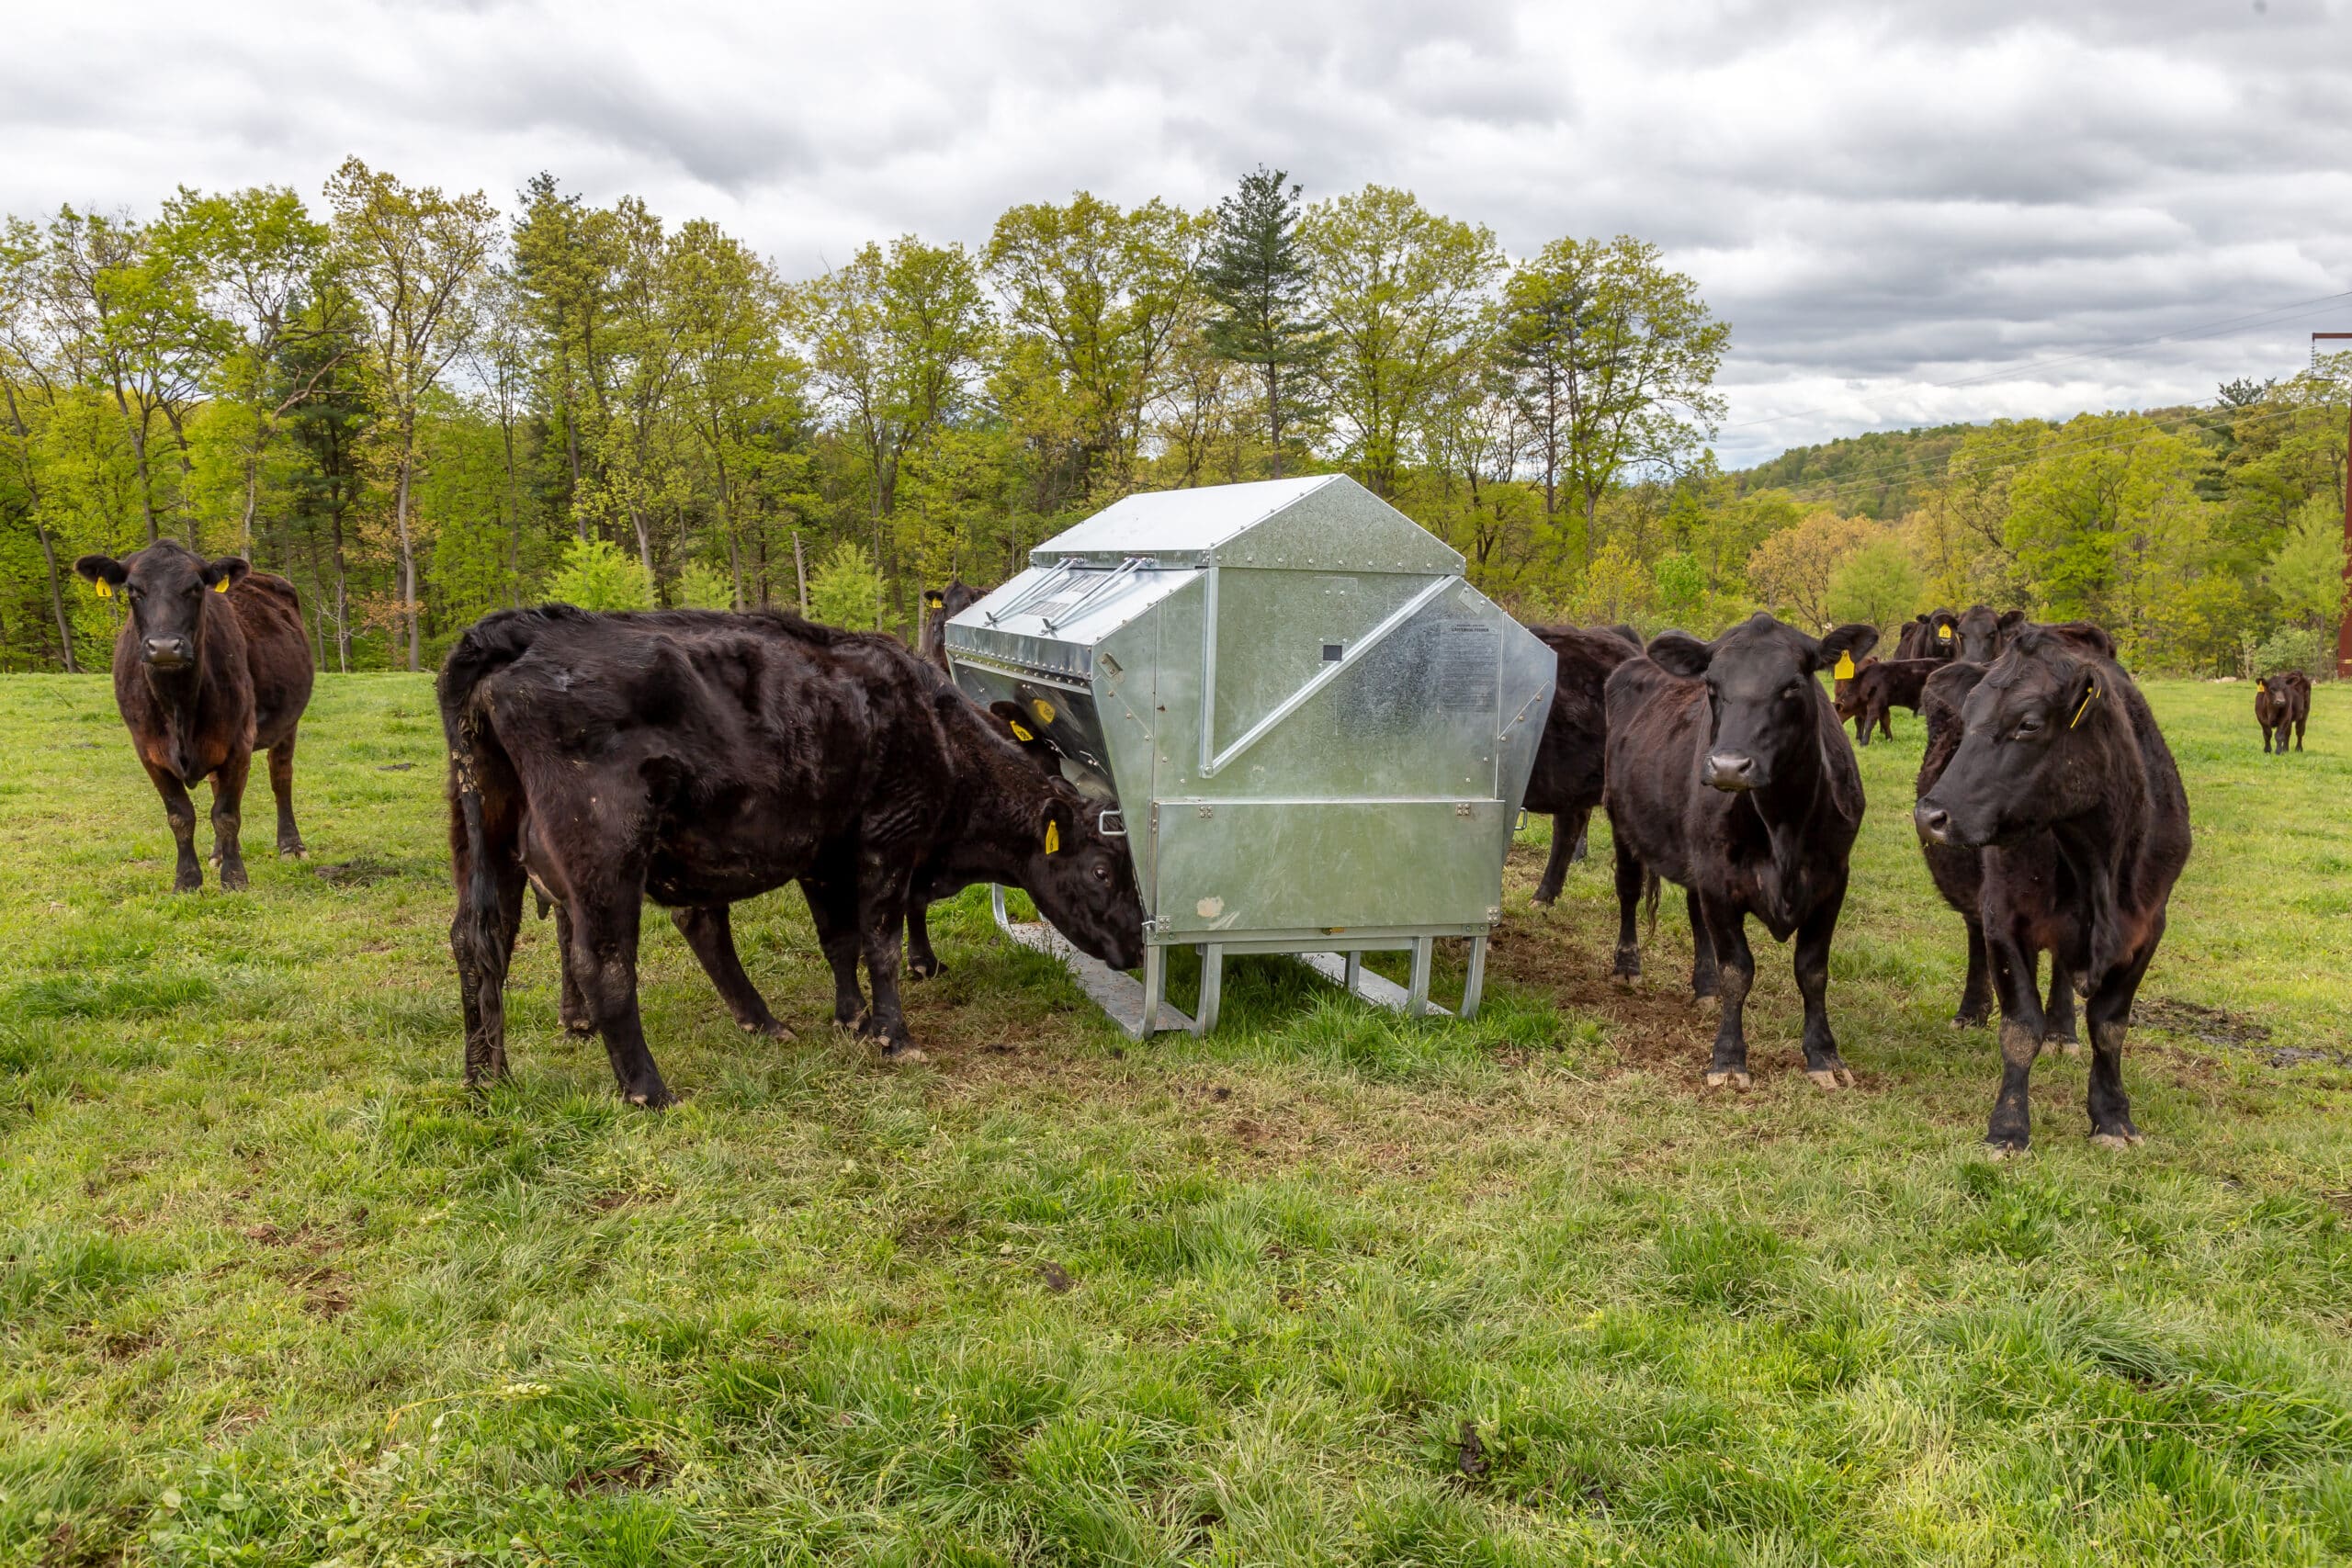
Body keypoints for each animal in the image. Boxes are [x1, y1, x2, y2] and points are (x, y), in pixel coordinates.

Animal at [74, 540, 315, 888]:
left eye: (196, 587)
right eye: (132, 589)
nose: (163, 647)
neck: (178, 707)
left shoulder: (239, 742)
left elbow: (226, 814)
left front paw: (235, 879)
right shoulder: (148, 751)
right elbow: (181, 816)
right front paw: (187, 880)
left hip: (287, 725)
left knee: (281, 778)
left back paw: (291, 846)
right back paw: (217, 854)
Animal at [442, 602, 1148, 1104]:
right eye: (1102, 869)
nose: (1139, 946)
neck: (940, 735)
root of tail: (520, 631)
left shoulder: (823, 853)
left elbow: (838, 941)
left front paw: (850, 1017)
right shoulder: (888, 840)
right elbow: (881, 943)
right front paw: (894, 1035)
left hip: (485, 833)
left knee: (481, 940)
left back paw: (488, 1078)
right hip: (604, 850)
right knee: (604, 962)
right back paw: (648, 1089)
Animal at [1599, 611, 1871, 1090]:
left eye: (1792, 685)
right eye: (1712, 685)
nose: (1728, 767)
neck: (1783, 823)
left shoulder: (1833, 879)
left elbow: (1812, 970)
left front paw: (1824, 1055)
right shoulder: (1719, 880)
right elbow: (1737, 971)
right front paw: (1728, 1058)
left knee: (1694, 914)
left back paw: (1703, 986)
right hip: (1622, 819)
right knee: (1628, 890)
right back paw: (1628, 965)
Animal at [1918, 625, 2191, 1152]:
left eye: (2028, 724)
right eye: (1968, 716)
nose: (1930, 815)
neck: (2098, 861)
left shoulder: (2149, 925)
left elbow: (2110, 1026)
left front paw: (2113, 1118)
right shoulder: (2005, 917)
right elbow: (2021, 1028)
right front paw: (2008, 1128)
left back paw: (2063, 1032)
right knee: (1974, 936)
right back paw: (1971, 1011)